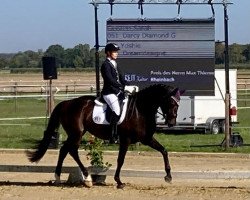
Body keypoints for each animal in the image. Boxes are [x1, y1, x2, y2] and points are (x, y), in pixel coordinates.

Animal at [26, 83, 182, 188]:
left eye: (178, 104)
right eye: (170, 102)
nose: (171, 123)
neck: (140, 110)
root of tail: (66, 103)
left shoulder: (146, 139)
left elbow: (164, 151)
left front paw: (168, 176)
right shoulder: (125, 140)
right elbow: (121, 160)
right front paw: (119, 181)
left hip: (76, 133)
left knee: (65, 150)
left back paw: (58, 178)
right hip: (76, 133)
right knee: (71, 150)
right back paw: (87, 179)